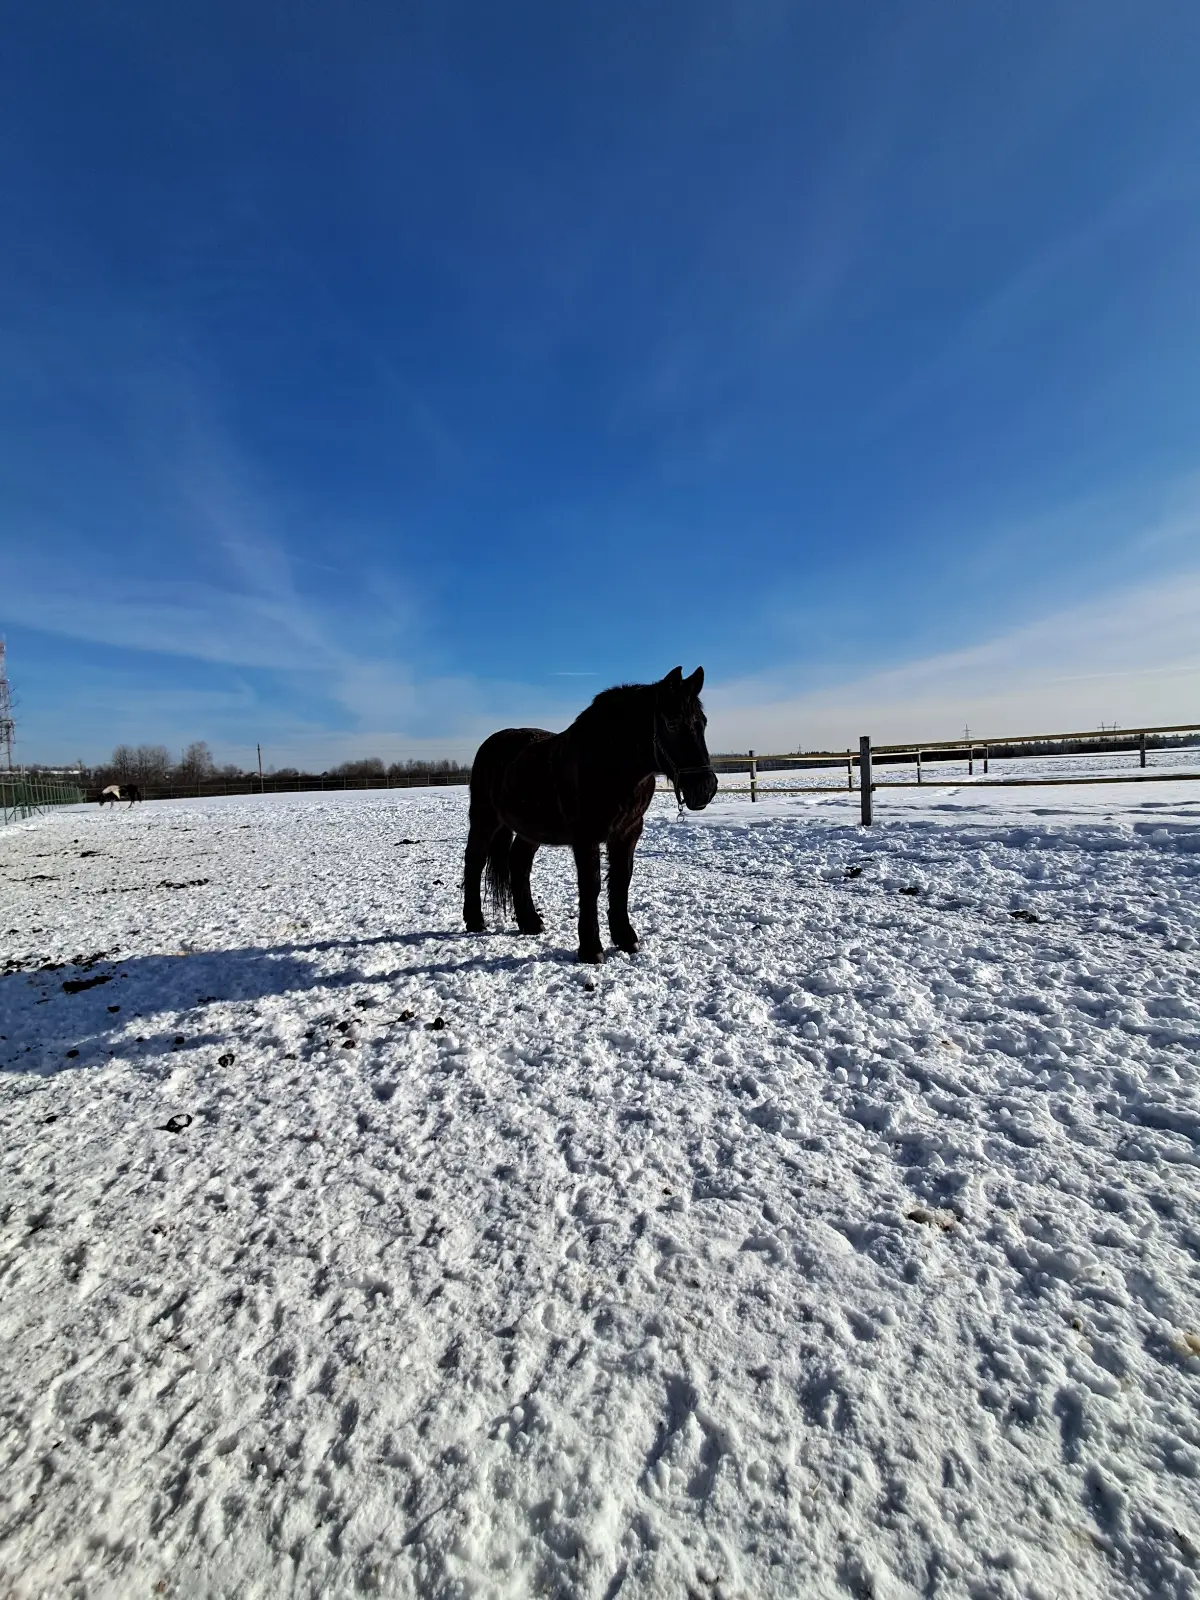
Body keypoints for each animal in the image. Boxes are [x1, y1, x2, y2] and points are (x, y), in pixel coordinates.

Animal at [463, 666, 718, 963]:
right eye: (672, 723)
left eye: (703, 722)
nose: (705, 788)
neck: (609, 761)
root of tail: (492, 744)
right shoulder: (586, 837)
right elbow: (591, 885)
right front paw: (591, 949)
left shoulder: (628, 832)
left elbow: (621, 881)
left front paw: (626, 939)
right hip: (485, 819)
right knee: (475, 860)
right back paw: (474, 920)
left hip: (530, 829)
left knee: (519, 864)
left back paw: (530, 923)